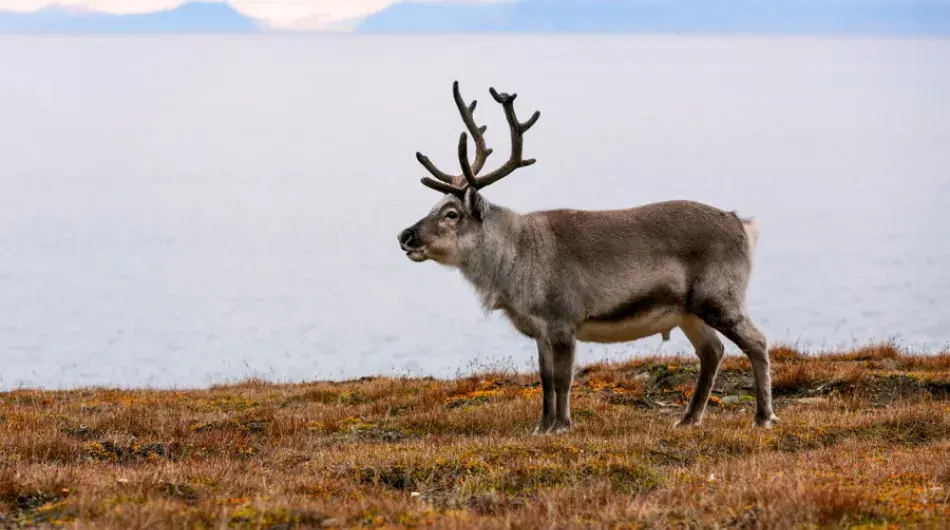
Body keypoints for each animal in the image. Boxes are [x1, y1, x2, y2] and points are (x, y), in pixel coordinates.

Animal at [397, 81, 778, 434]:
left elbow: (563, 379)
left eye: (451, 214)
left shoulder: (564, 320)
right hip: (688, 311)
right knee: (713, 350)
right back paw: (688, 419)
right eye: (433, 206)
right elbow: (545, 379)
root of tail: (742, 224)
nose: (405, 236)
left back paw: (763, 416)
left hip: (719, 296)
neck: (515, 261)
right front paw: (542, 427)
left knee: (757, 341)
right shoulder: (540, 330)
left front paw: (563, 425)